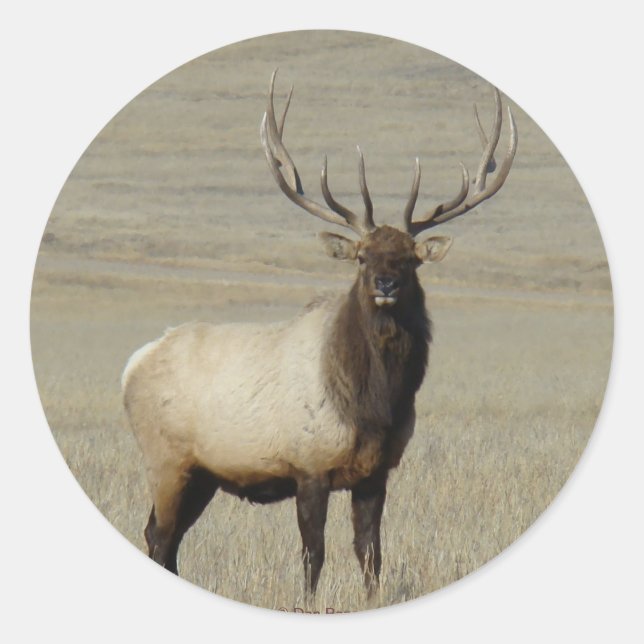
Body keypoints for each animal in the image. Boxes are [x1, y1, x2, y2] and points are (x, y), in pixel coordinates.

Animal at [122, 70, 517, 596]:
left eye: (410, 258)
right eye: (362, 257)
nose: (386, 284)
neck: (374, 406)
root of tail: (132, 364)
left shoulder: (376, 472)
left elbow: (370, 555)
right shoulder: (308, 465)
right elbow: (314, 556)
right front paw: (308, 602)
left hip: (202, 474)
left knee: (165, 538)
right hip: (164, 458)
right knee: (158, 534)